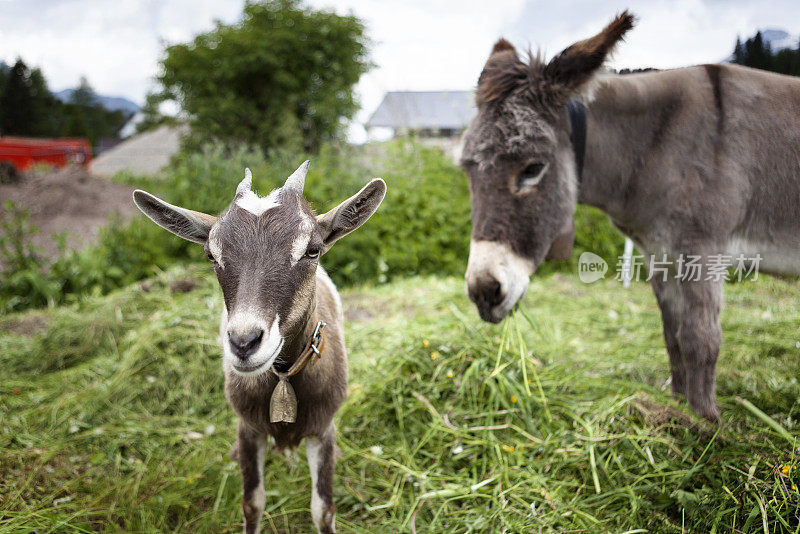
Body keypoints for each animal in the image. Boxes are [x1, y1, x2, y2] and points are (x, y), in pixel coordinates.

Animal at [132, 164, 388, 534]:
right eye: (211, 254)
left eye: (312, 249)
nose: (244, 342)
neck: (282, 377)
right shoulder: (249, 428)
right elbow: (252, 503)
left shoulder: (322, 429)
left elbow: (323, 509)